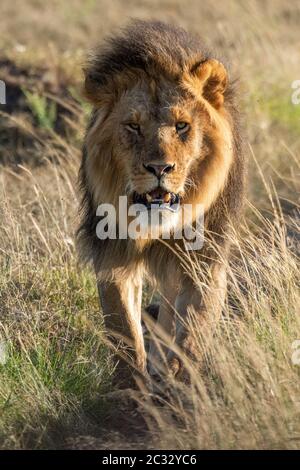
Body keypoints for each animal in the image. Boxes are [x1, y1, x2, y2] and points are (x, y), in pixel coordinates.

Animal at [77, 20, 246, 388]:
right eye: (133, 126)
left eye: (182, 126)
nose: (159, 168)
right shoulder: (114, 251)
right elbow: (123, 325)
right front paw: (130, 388)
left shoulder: (204, 259)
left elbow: (192, 332)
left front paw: (178, 385)